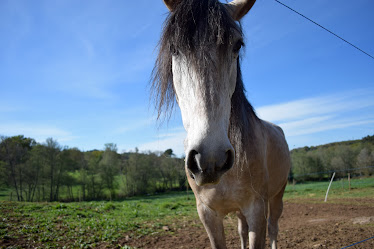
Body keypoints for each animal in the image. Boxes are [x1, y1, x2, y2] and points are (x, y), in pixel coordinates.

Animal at [150, 0, 290, 248]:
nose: (209, 159)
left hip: (276, 197)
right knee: (242, 230)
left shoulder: (256, 209)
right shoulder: (207, 213)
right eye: (174, 47)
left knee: (274, 228)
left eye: (237, 45)